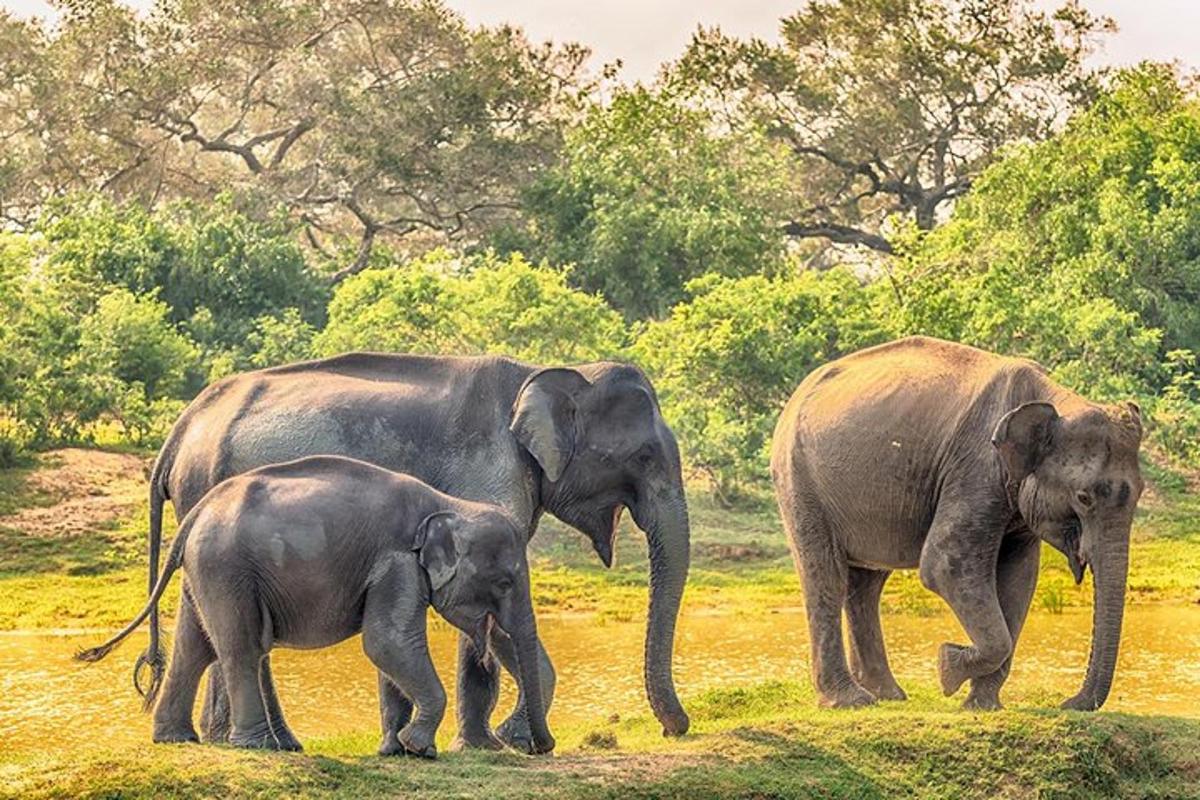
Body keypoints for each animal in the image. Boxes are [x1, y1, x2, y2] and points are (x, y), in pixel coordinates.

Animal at [77, 455, 554, 758]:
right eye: (505, 581)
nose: (541, 748)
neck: (448, 504)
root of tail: (196, 511)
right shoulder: (397, 561)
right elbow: (387, 642)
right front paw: (419, 747)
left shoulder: (394, 569)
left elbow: (389, 651)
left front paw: (399, 750)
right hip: (226, 568)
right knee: (242, 648)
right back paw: (260, 746)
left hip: (207, 570)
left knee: (196, 648)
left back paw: (178, 740)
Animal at [137, 352, 691, 753]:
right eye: (644, 457)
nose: (675, 729)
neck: (546, 371)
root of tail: (180, 430)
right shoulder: (488, 470)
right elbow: (488, 619)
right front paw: (492, 745)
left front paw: (490, 742)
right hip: (210, 497)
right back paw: (266, 744)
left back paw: (225, 739)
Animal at [768, 335, 1142, 710]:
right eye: (1084, 497)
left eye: (1140, 494)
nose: (1068, 703)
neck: (1052, 398)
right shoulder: (977, 467)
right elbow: (945, 566)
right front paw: (947, 668)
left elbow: (1018, 579)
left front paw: (982, 705)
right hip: (798, 479)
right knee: (826, 577)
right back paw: (851, 701)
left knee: (866, 585)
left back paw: (887, 696)